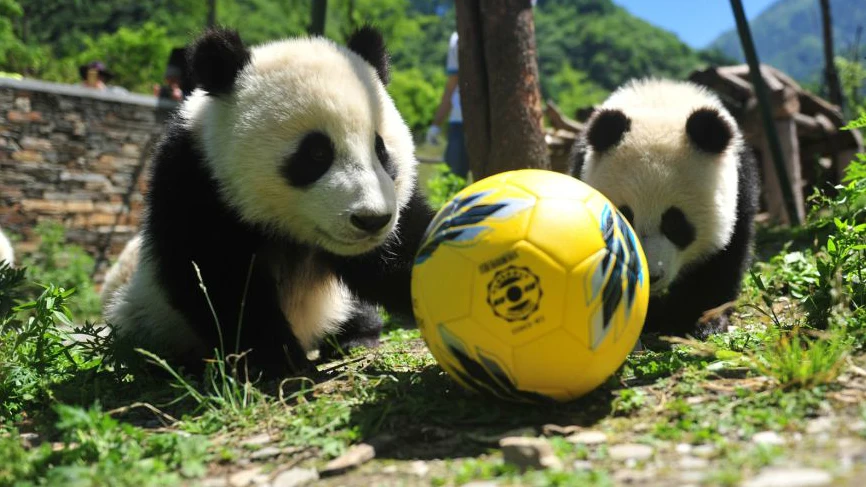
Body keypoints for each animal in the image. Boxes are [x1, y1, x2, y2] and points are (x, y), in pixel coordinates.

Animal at [104, 25, 436, 378]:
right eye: (316, 154)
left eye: (381, 150)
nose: (372, 220)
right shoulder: (196, 183)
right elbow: (219, 281)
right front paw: (279, 361)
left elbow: (401, 255)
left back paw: (354, 338)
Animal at [568, 79, 756, 340]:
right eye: (625, 217)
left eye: (675, 223)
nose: (650, 275)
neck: (660, 102)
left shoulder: (740, 188)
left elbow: (722, 260)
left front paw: (700, 320)